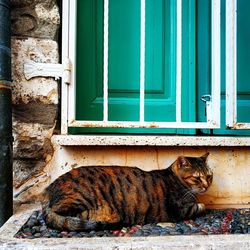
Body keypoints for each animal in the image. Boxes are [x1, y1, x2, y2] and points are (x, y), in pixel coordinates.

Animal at [42, 153, 212, 231]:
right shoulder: (182, 209)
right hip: (80, 198)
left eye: (209, 176)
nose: (207, 186)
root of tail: (48, 191)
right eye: (197, 178)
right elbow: (201, 206)